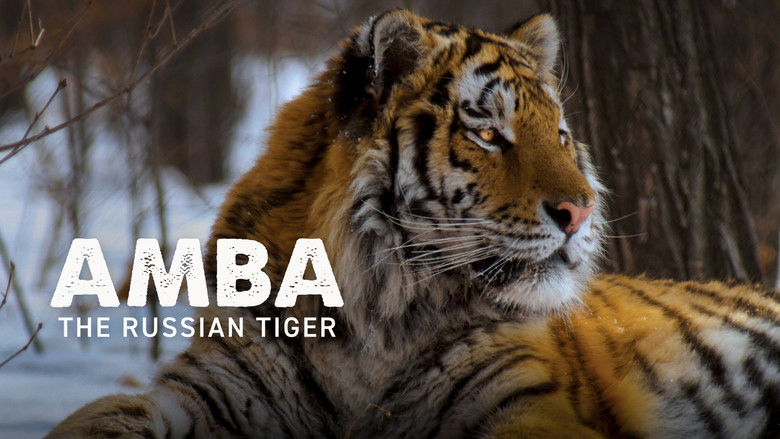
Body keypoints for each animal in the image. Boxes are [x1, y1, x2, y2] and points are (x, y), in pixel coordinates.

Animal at [47, 9, 779, 439]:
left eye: (562, 134)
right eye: (488, 133)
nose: (582, 212)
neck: (372, 325)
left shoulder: (527, 403)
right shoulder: (214, 387)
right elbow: (103, 414)